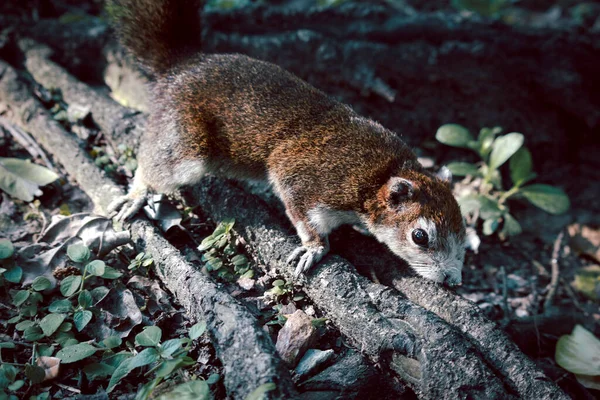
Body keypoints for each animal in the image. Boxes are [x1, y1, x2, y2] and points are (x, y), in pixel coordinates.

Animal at [105, 0, 466, 284]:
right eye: (420, 236)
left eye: (463, 229)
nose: (452, 280)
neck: (380, 175)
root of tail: (181, 67)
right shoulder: (305, 178)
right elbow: (303, 215)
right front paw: (314, 248)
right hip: (185, 143)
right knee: (156, 165)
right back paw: (136, 194)